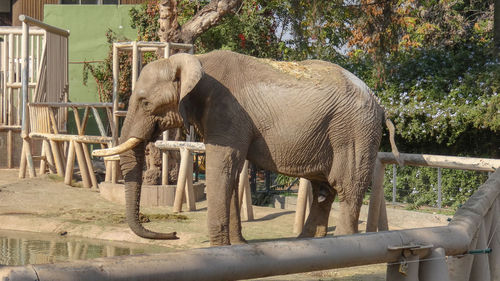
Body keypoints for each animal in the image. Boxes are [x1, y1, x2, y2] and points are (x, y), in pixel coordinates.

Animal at [94, 50, 400, 245]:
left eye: (145, 102)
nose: (173, 234)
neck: (196, 60)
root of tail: (379, 103)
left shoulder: (227, 112)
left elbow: (222, 166)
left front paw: (218, 247)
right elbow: (230, 171)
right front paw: (237, 246)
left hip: (354, 130)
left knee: (346, 186)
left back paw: (341, 245)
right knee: (323, 189)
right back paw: (304, 243)